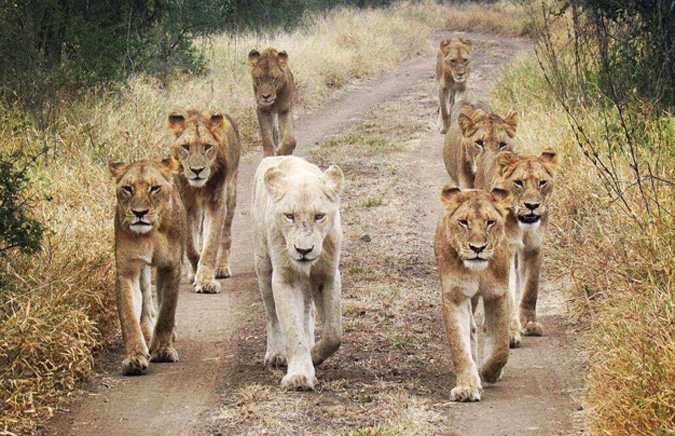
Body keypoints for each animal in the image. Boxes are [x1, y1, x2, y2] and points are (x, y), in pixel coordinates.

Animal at [108, 157, 186, 375]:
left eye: (154, 188)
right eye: (127, 188)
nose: (139, 213)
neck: (150, 234)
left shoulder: (171, 266)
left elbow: (167, 310)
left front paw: (163, 350)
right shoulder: (127, 270)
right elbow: (129, 316)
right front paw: (135, 357)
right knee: (144, 297)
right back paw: (146, 331)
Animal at [167, 110, 241, 294]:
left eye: (208, 147)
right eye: (186, 147)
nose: (197, 171)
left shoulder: (216, 202)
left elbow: (211, 245)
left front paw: (206, 281)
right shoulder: (187, 204)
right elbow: (191, 247)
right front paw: (196, 270)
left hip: (231, 194)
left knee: (226, 236)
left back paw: (221, 268)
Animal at [252, 156, 344, 391]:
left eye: (319, 216)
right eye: (289, 216)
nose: (303, 250)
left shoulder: (327, 275)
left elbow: (333, 334)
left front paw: (314, 354)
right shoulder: (286, 278)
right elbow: (291, 328)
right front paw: (299, 376)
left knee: (308, 312)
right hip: (263, 267)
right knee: (272, 315)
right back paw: (276, 354)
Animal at [434, 184, 513, 402]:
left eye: (490, 222)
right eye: (464, 222)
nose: (478, 248)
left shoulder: (498, 293)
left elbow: (501, 345)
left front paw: (490, 372)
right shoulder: (455, 296)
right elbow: (459, 345)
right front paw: (467, 387)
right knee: (471, 330)